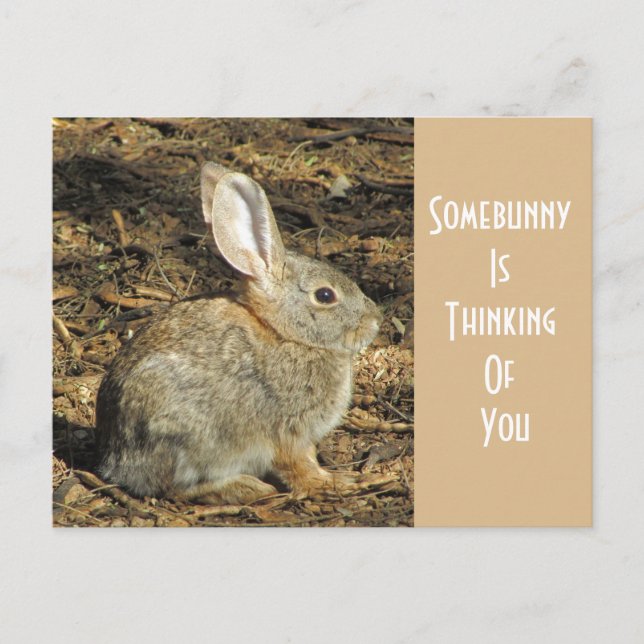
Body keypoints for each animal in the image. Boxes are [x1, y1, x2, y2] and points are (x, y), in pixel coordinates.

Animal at [95, 162, 392, 505]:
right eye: (325, 296)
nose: (375, 320)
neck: (286, 335)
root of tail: (116, 461)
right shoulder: (288, 431)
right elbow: (299, 466)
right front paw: (335, 482)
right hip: (190, 438)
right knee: (176, 489)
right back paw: (248, 487)